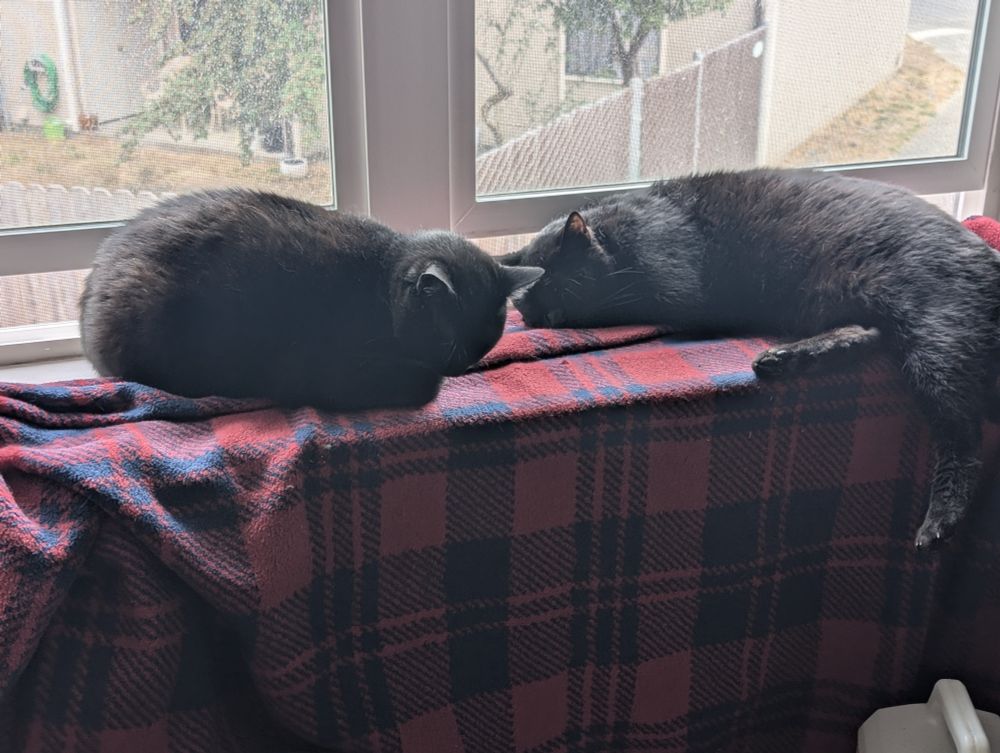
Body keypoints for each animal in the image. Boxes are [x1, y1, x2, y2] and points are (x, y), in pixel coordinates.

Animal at [501, 168, 1000, 549]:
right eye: (526, 306)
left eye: (565, 288)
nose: (547, 316)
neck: (623, 239)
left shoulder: (677, 292)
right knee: (866, 334)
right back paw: (786, 359)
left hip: (934, 336)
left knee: (964, 438)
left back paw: (938, 522)